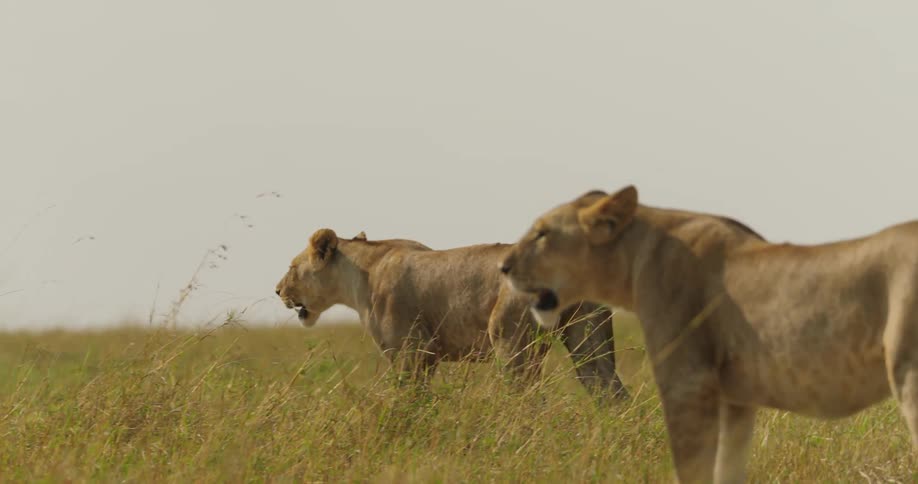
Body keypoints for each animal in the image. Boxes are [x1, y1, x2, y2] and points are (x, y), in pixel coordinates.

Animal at [275, 229, 627, 398]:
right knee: (610, 389)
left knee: (529, 399)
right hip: (588, 340)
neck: (360, 272)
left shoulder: (412, 351)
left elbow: (409, 397)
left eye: (292, 267)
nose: (277, 291)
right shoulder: (428, 354)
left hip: (510, 341)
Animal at [500, 185, 918, 483]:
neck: (634, 257)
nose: (503, 266)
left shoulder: (687, 382)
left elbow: (693, 470)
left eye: (541, 234)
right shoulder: (736, 400)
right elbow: (727, 469)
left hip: (909, 377)